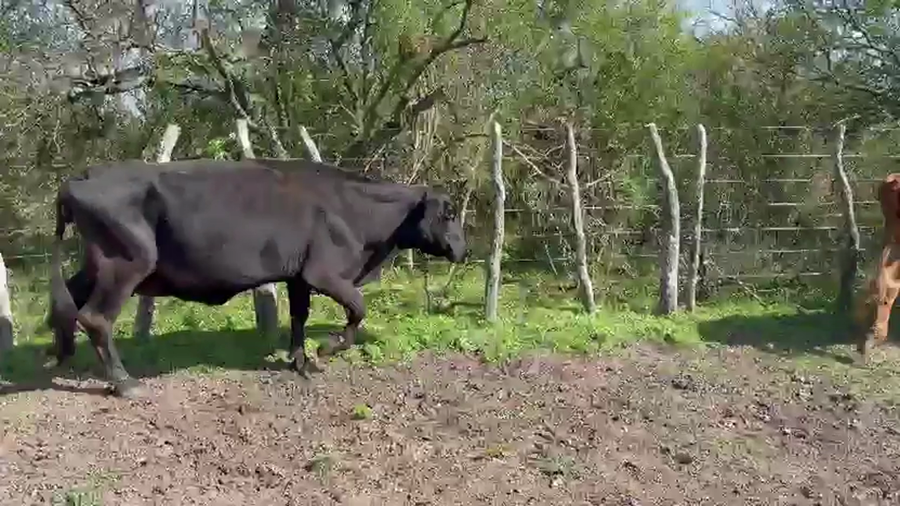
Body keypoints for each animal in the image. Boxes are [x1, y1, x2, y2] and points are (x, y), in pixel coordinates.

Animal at [46, 158, 467, 398]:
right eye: (448, 213)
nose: (463, 249)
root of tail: (80, 178)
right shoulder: (324, 271)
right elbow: (357, 309)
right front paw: (326, 349)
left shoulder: (299, 276)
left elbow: (299, 316)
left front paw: (299, 361)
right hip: (128, 263)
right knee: (95, 317)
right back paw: (125, 383)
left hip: (99, 264)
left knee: (66, 302)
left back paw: (60, 356)